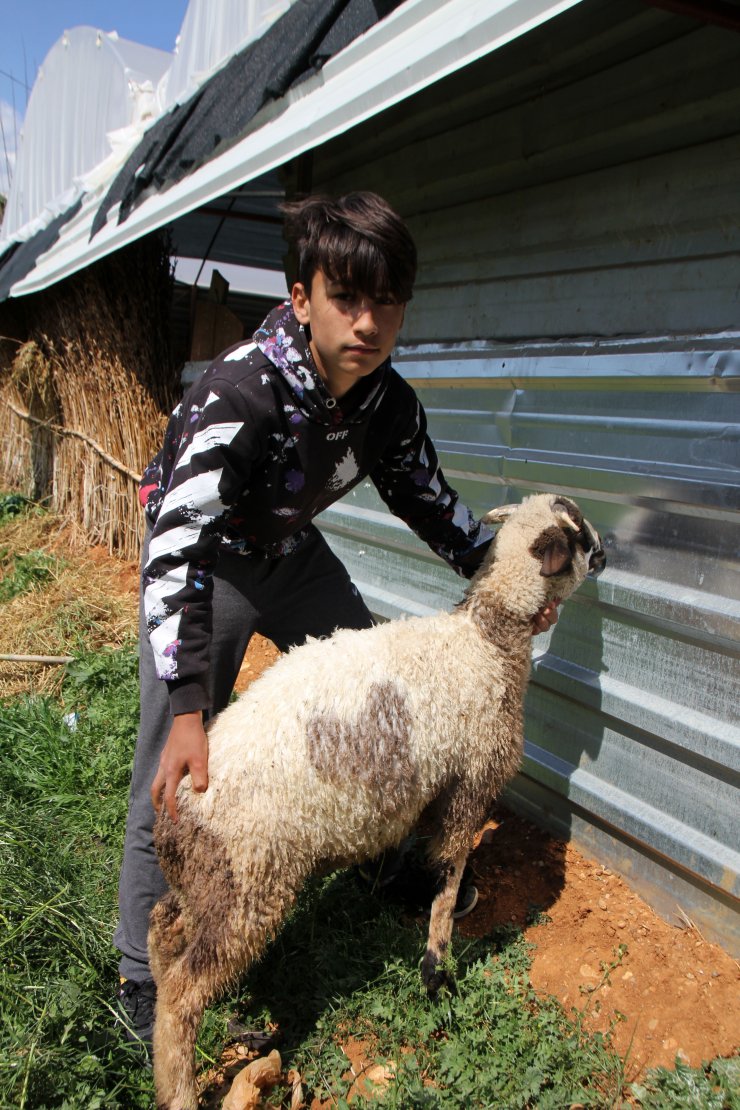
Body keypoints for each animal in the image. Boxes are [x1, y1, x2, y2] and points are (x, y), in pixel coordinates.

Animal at [150, 495, 607, 1110]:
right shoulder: (471, 782)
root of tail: (179, 812)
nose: (606, 552)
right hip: (249, 884)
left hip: (207, 882)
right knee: (183, 993)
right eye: (579, 533)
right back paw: (178, 1088)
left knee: (162, 928)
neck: (484, 640)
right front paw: (437, 968)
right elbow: (448, 869)